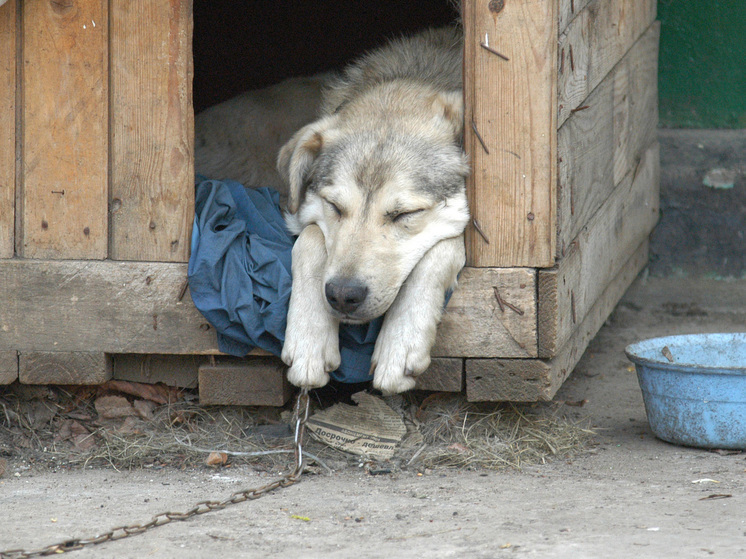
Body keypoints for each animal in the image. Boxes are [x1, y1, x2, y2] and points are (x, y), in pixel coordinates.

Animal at [276, 26, 468, 394]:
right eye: (334, 207)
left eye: (404, 214)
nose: (342, 296)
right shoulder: (306, 217)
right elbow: (308, 240)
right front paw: (308, 339)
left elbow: (440, 250)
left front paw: (401, 342)